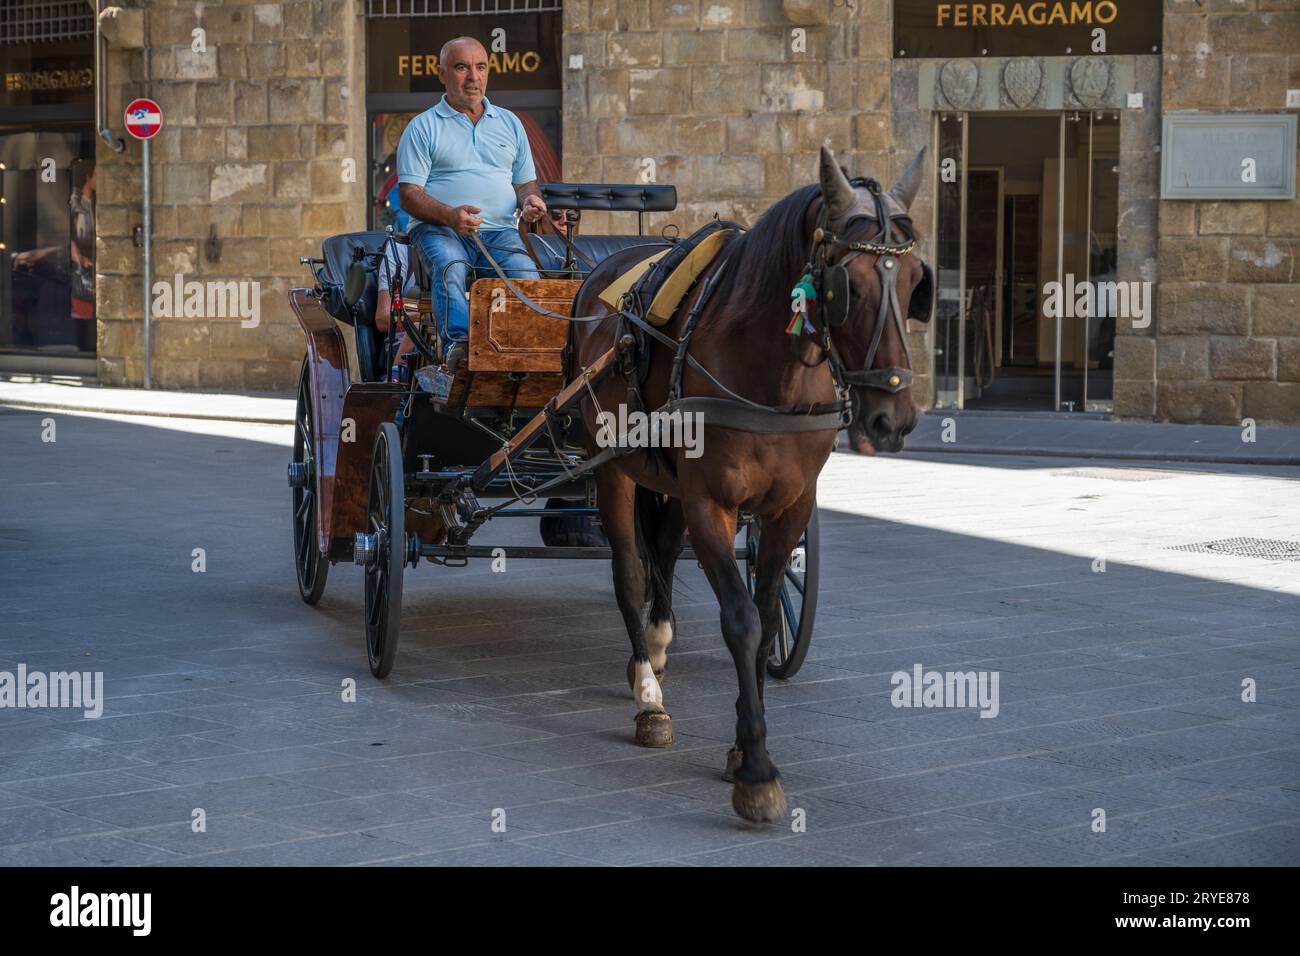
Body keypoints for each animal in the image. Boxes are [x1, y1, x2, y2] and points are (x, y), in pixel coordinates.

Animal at [569, 146, 929, 823]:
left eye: (917, 278)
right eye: (847, 286)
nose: (891, 419)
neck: (771, 368)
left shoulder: (789, 507)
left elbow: (765, 619)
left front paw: (741, 747)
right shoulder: (711, 504)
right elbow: (740, 620)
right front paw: (757, 770)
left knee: (661, 553)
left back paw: (658, 644)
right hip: (612, 467)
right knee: (629, 572)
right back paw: (648, 694)